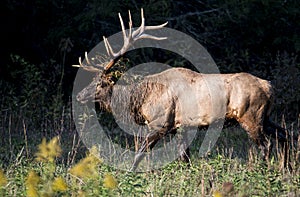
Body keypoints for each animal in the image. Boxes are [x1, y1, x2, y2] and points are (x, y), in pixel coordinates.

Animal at [74, 8, 290, 171]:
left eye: (99, 84)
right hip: (265, 116)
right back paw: (285, 168)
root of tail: (269, 86)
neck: (141, 102)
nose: (78, 96)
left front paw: (128, 177)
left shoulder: (160, 124)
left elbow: (138, 155)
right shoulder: (181, 127)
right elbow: (184, 158)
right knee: (284, 135)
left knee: (266, 144)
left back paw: (264, 171)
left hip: (249, 115)